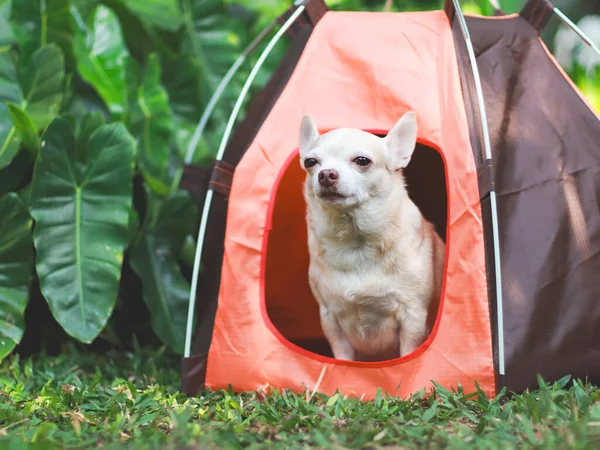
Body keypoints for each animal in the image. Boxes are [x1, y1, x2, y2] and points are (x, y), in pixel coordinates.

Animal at [300, 112, 446, 362]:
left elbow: (408, 352)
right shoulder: (330, 319)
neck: (354, 241)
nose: (326, 174)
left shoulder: (413, 317)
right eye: (310, 162)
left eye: (362, 161)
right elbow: (342, 358)